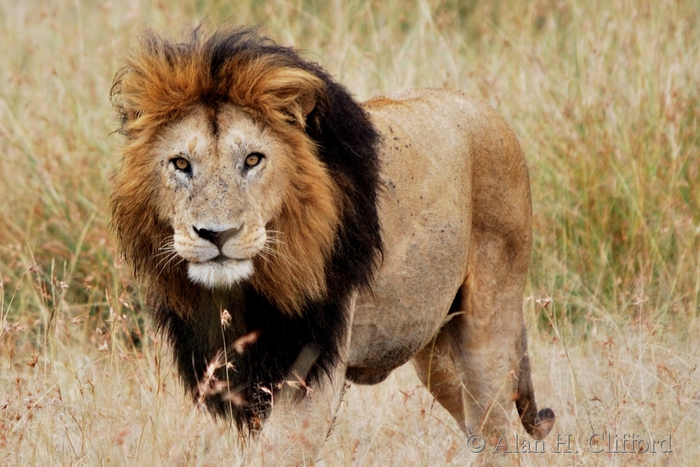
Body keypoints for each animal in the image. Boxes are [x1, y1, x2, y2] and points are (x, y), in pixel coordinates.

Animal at [110, 28, 555, 464]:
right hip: (435, 349)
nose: (217, 234)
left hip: (488, 327)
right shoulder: (233, 376)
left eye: (253, 160)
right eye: (181, 164)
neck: (244, 291)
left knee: (497, 433)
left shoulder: (311, 368)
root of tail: (487, 110)